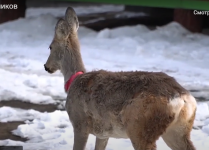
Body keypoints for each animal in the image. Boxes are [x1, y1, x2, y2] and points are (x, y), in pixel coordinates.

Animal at [43, 6, 197, 149]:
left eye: (50, 47)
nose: (46, 66)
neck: (73, 80)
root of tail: (183, 98)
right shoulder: (102, 133)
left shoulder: (79, 123)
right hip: (178, 130)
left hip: (140, 127)